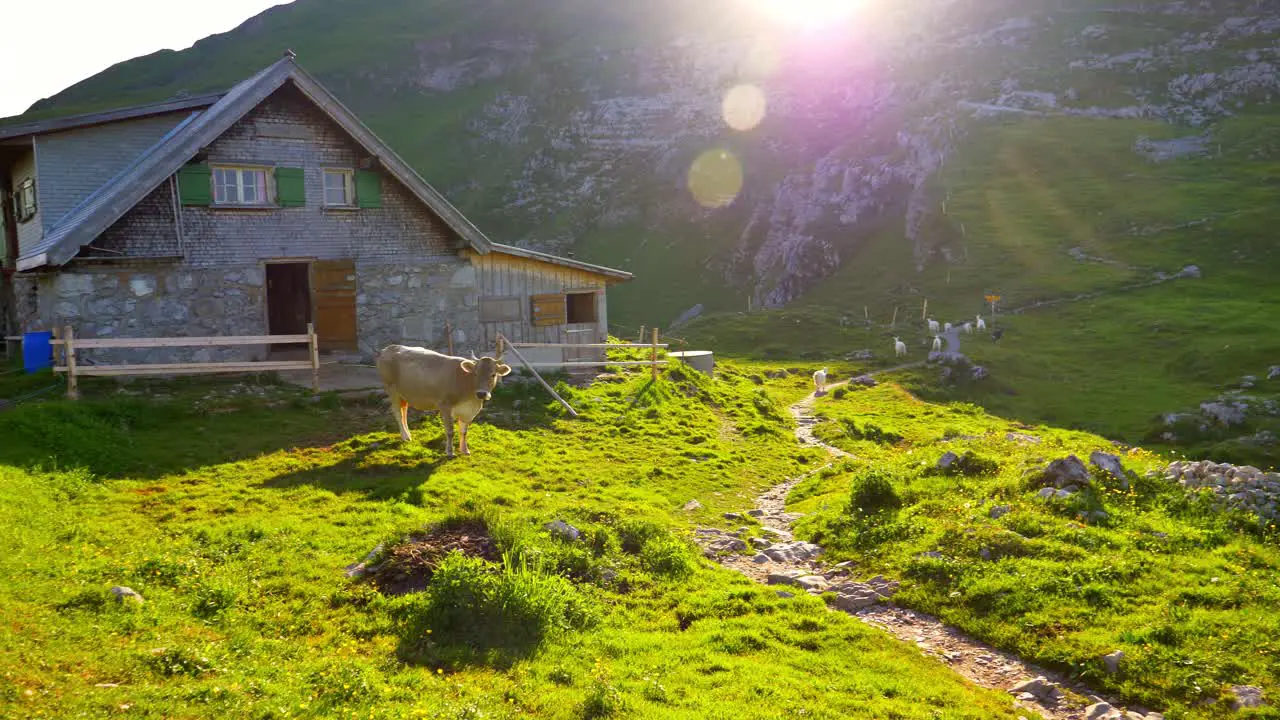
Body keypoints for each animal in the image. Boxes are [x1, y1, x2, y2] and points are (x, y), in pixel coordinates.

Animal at [373, 340, 509, 453]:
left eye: (493, 374)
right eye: (475, 373)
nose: (481, 393)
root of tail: (389, 348)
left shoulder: (468, 411)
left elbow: (464, 431)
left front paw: (464, 450)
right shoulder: (445, 406)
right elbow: (450, 431)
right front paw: (449, 451)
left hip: (404, 393)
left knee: (404, 411)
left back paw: (407, 434)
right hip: (392, 390)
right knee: (397, 412)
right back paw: (405, 436)